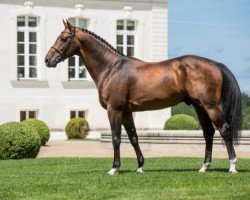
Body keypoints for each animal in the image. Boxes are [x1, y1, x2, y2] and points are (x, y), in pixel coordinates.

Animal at [45, 19, 242, 174]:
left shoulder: (114, 109)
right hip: (199, 106)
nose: (47, 60)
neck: (111, 68)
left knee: (225, 130)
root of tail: (215, 64)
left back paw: (232, 166)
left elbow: (116, 138)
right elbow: (133, 137)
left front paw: (114, 168)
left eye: (63, 38)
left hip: (210, 106)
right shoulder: (126, 112)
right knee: (208, 132)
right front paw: (140, 166)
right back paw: (204, 167)